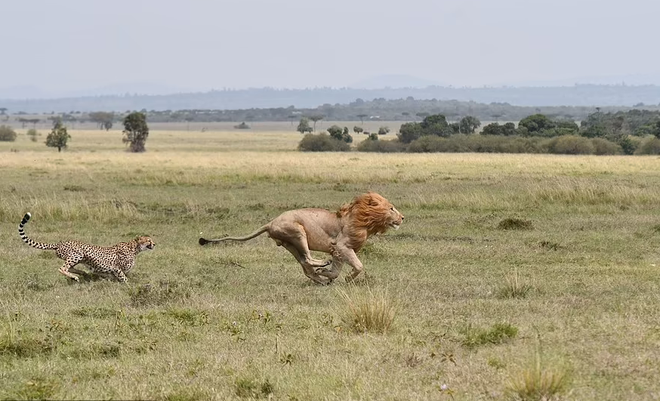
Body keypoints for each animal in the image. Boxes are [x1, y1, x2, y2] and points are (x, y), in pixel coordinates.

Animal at [18, 212, 155, 282]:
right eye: (148, 240)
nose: (154, 244)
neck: (134, 248)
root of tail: (60, 243)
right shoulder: (117, 269)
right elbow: (125, 279)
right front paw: (130, 286)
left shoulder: (113, 272)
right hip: (77, 254)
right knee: (62, 268)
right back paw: (75, 276)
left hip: (78, 258)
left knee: (71, 267)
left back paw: (82, 273)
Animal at [199, 191, 402, 282]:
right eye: (391, 208)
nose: (403, 217)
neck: (363, 220)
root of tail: (270, 223)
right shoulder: (342, 246)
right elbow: (358, 266)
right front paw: (346, 278)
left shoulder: (338, 250)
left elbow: (337, 269)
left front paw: (329, 276)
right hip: (297, 232)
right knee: (308, 258)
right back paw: (321, 265)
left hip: (290, 244)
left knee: (305, 264)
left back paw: (319, 278)